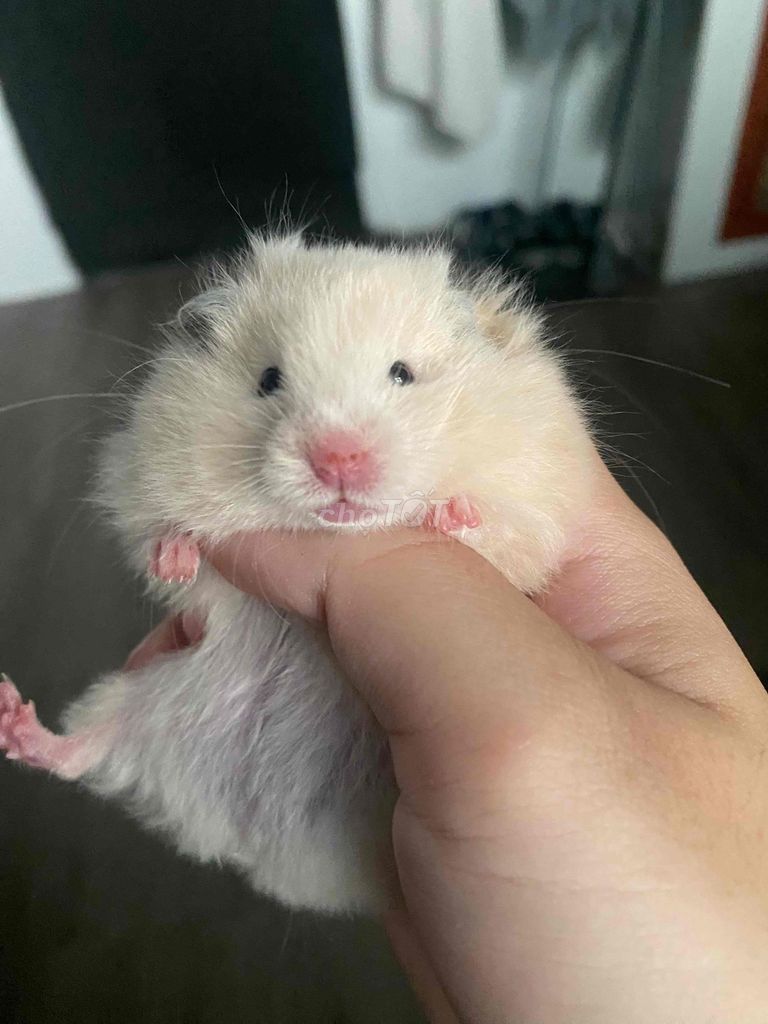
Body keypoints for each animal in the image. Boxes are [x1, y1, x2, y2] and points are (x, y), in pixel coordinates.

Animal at [0, 234, 595, 915]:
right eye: (268, 380)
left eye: (402, 373)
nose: (337, 457)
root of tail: (259, 847)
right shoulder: (140, 478)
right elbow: (163, 543)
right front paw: (178, 553)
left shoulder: (538, 497)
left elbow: (498, 533)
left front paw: (450, 513)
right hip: (142, 702)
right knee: (82, 751)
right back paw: (12, 715)